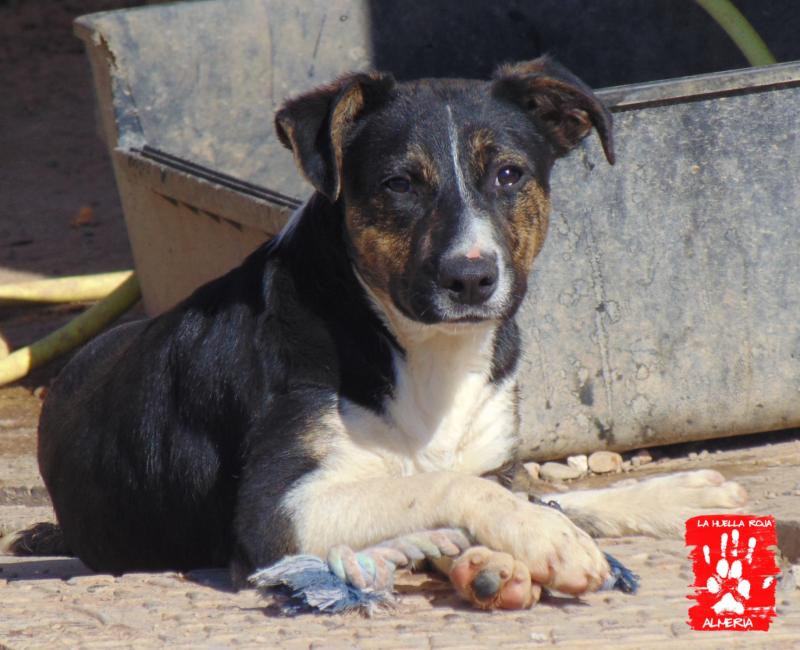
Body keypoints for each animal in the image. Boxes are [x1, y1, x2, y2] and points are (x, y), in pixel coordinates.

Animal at [24, 57, 747, 610]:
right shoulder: (276, 512)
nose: (471, 278)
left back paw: (685, 494)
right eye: (400, 184)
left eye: (509, 174)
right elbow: (442, 486)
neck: (423, 352)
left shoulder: (491, 454)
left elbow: (513, 489)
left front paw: (516, 549)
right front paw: (540, 546)